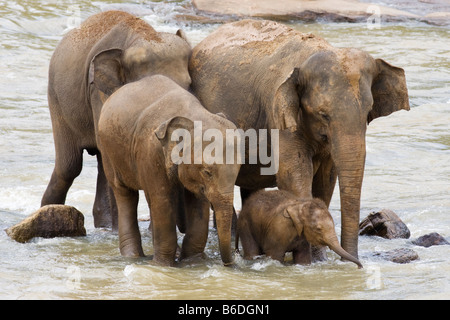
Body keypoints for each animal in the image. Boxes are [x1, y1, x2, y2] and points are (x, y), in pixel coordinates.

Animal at [96, 74, 241, 264]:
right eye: (207, 172)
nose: (232, 261)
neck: (194, 115)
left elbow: (198, 203)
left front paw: (193, 261)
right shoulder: (150, 151)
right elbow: (162, 199)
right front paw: (163, 264)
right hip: (108, 152)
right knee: (126, 195)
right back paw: (133, 257)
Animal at [188, 19, 410, 260]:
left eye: (369, 112)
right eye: (323, 114)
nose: (349, 261)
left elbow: (326, 178)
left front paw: (320, 257)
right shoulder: (279, 114)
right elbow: (294, 173)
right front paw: (315, 256)